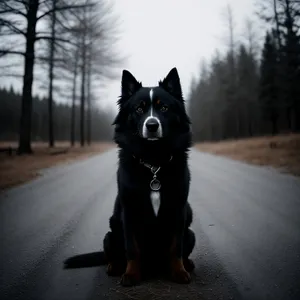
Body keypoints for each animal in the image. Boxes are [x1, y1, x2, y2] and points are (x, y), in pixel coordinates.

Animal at [103, 67, 196, 286]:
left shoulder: (178, 209)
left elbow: (176, 247)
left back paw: (187, 264)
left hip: (191, 232)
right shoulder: (129, 210)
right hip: (110, 234)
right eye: (139, 109)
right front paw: (131, 275)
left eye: (164, 108)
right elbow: (132, 249)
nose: (152, 125)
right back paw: (115, 266)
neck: (153, 160)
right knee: (114, 252)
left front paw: (179, 271)